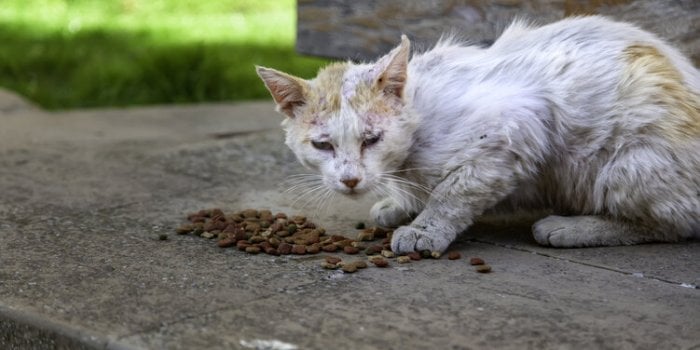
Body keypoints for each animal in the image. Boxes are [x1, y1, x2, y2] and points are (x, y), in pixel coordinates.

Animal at [258, 15, 700, 253]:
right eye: (322, 145)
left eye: (372, 139)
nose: (350, 179)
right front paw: (399, 205)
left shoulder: (515, 128)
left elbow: (452, 194)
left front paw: (424, 229)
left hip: (629, 164)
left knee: (675, 222)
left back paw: (571, 227)